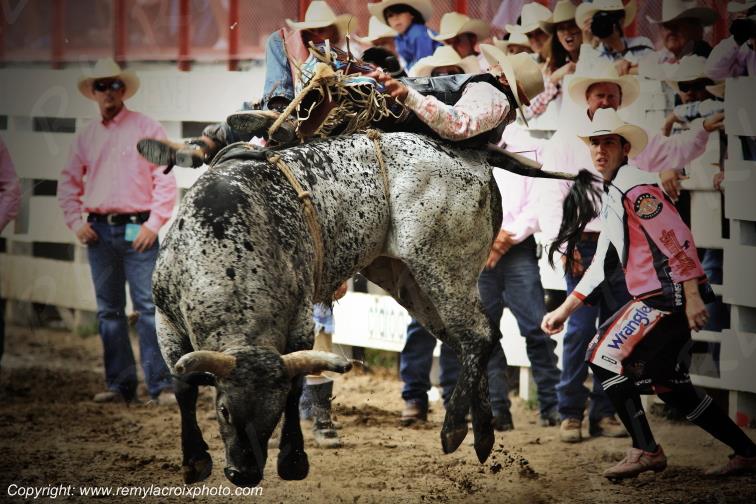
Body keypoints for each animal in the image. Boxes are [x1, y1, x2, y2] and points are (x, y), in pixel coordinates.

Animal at [154, 131, 504, 487]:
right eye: (223, 409)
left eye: (273, 411)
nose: (245, 473)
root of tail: (473, 159)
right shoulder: (165, 319)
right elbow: (184, 387)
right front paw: (194, 460)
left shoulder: (300, 322)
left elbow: (295, 387)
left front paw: (293, 460)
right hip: (409, 280)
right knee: (468, 342)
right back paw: (483, 436)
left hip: (444, 266)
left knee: (480, 336)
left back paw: (455, 429)